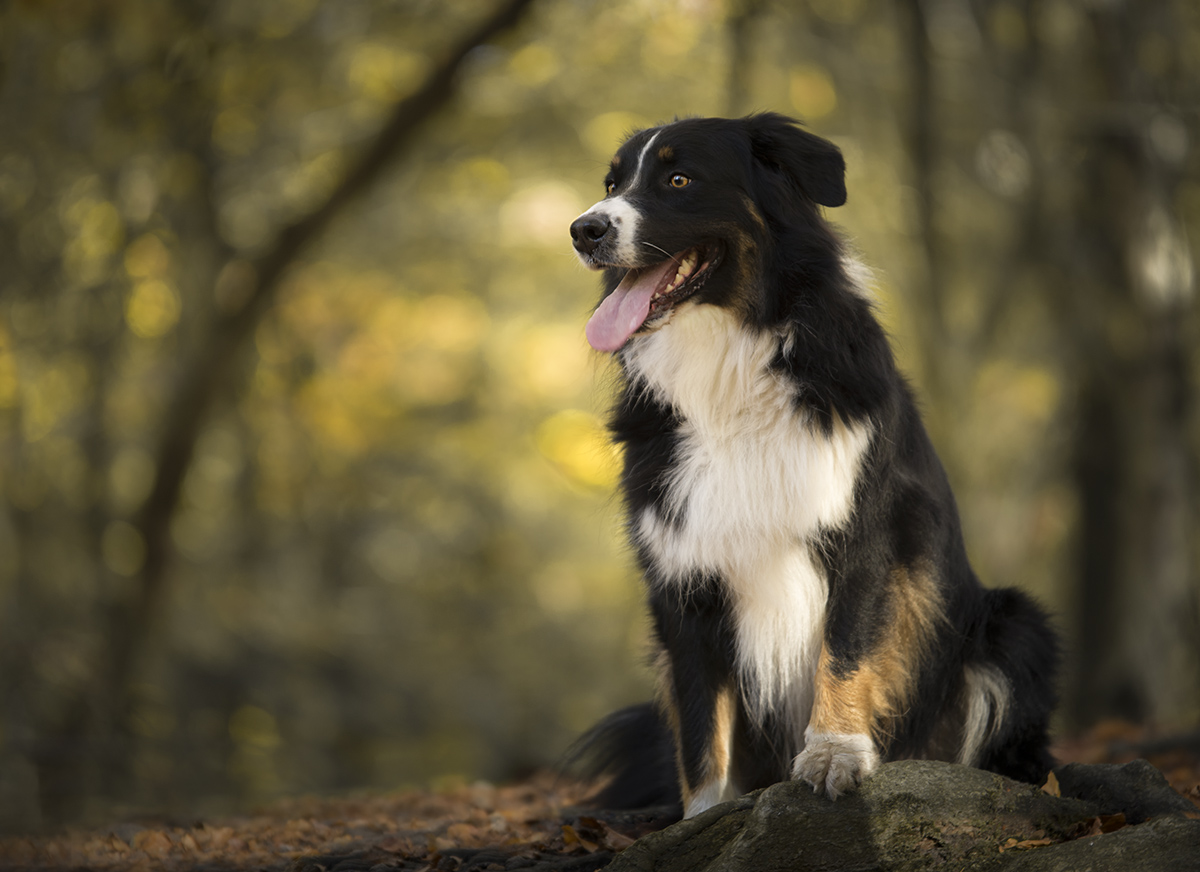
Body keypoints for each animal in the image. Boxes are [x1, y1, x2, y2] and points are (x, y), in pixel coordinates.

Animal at [566, 114, 1056, 820]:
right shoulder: (682, 574)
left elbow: (846, 648)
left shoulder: (865, 533)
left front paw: (833, 754)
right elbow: (699, 719)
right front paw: (704, 815)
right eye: (611, 184)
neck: (728, 375)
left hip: (1014, 628)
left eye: (678, 178)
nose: (584, 230)